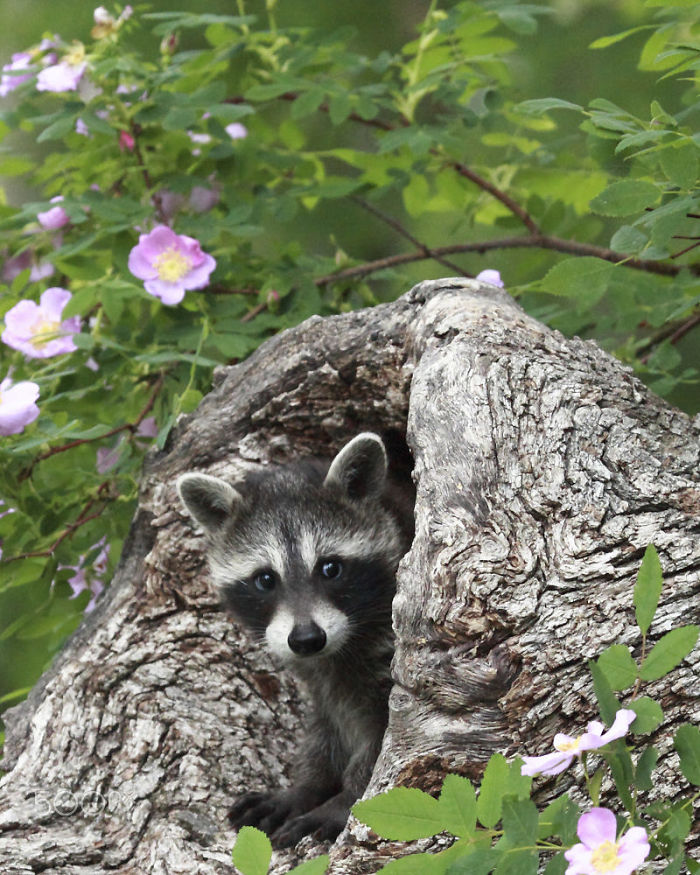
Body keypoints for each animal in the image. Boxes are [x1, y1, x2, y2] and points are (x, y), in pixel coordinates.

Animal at [176, 433, 414, 847]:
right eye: (265, 579)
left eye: (330, 568)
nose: (306, 638)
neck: (336, 652)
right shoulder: (320, 678)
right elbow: (325, 730)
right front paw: (304, 788)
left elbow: (381, 743)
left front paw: (344, 801)